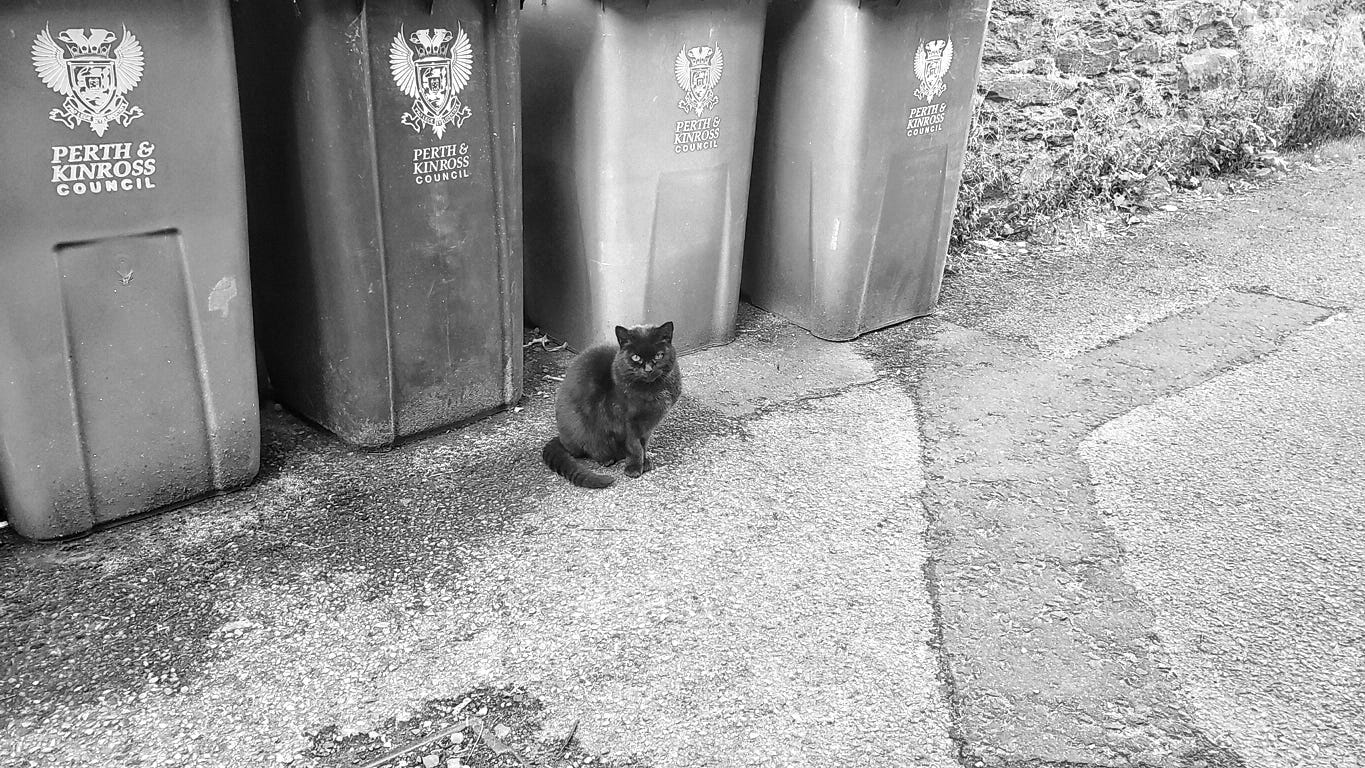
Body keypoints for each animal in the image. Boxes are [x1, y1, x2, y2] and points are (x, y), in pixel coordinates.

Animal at [543, 323, 682, 491]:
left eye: (658, 356)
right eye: (636, 357)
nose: (648, 369)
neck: (651, 392)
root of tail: (561, 438)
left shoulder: (648, 426)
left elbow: (644, 444)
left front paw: (645, 461)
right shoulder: (627, 422)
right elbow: (635, 446)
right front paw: (635, 468)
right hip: (580, 427)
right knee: (588, 448)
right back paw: (606, 459)